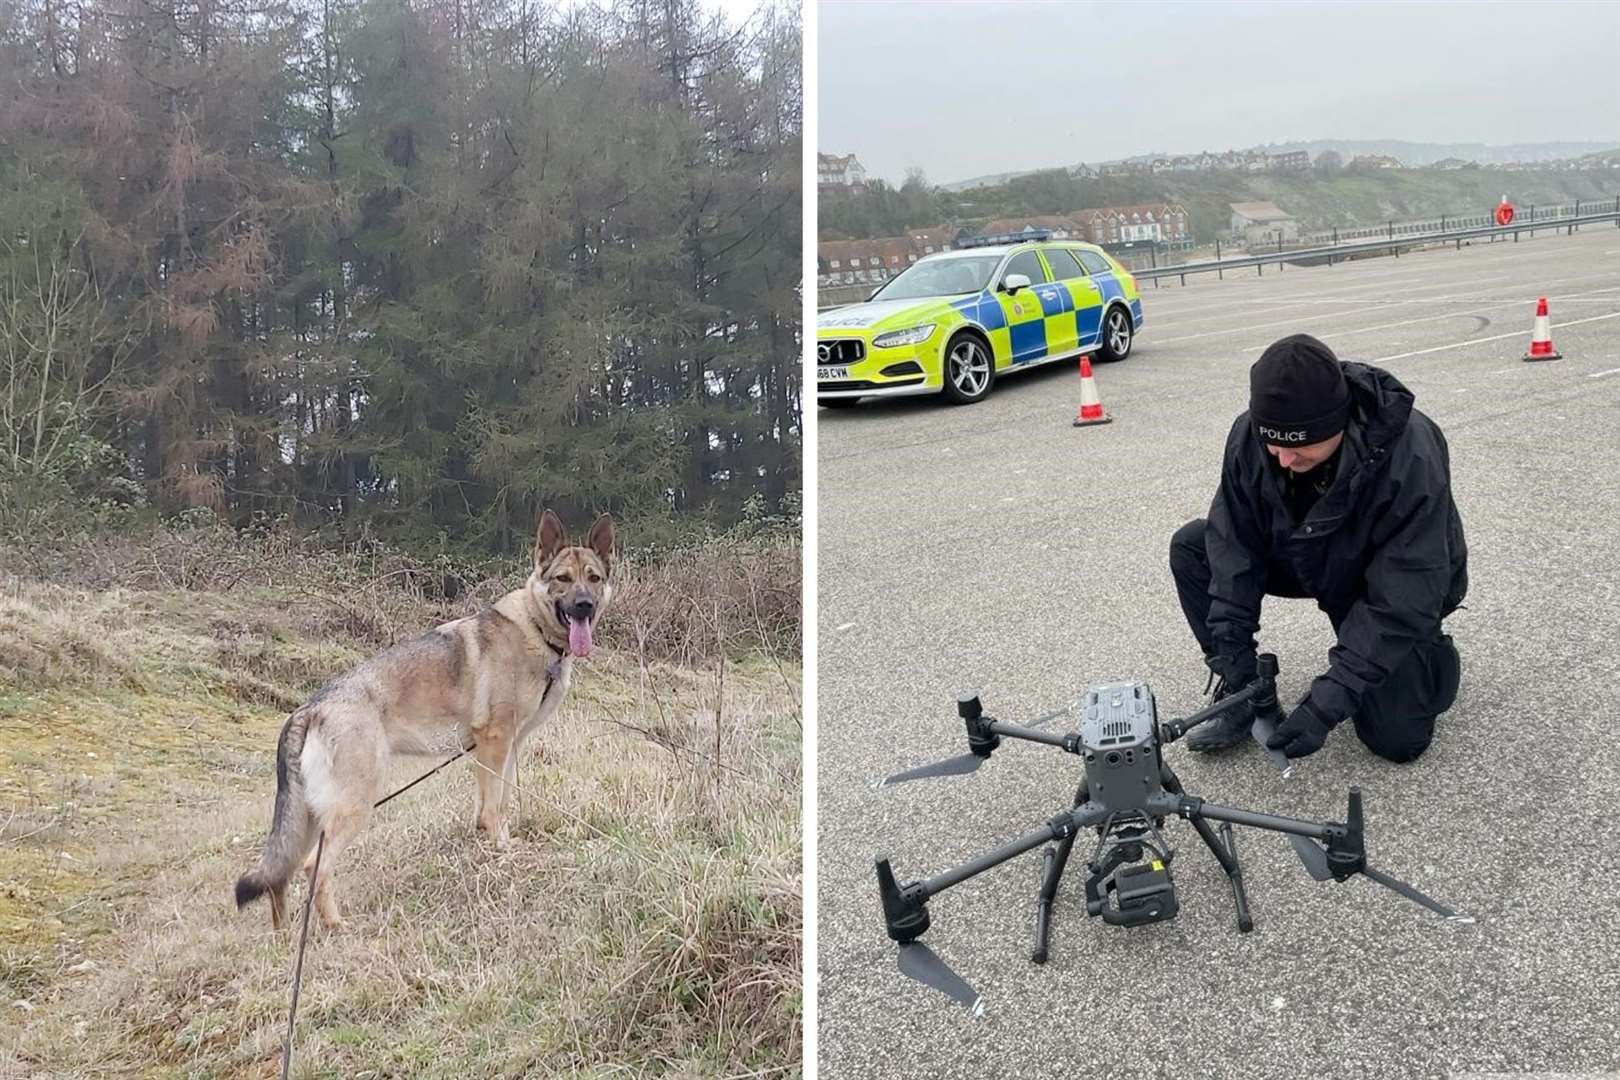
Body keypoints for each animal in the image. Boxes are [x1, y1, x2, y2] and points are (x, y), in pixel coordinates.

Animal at [236, 508, 615, 932]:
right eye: (563, 579)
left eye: (593, 578)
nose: (584, 606)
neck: (535, 629)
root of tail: (309, 708)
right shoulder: (496, 741)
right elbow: (496, 807)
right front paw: (501, 851)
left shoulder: (504, 747)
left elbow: (494, 803)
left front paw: (491, 843)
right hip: (354, 805)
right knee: (311, 869)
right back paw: (337, 927)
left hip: (309, 818)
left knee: (280, 877)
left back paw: (283, 936)